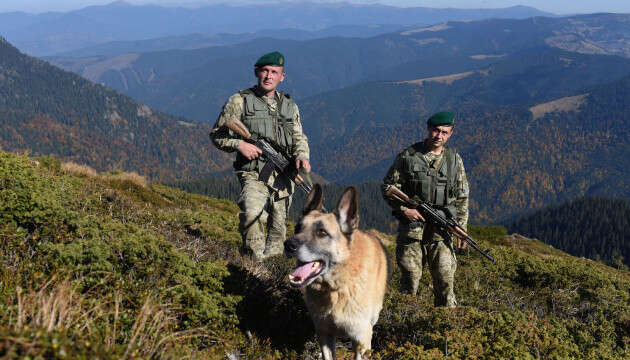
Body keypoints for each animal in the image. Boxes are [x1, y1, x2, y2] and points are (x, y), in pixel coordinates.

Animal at [284, 184, 388, 358]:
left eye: (322, 232)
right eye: (297, 228)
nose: (288, 245)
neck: (335, 288)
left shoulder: (361, 339)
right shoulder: (324, 334)